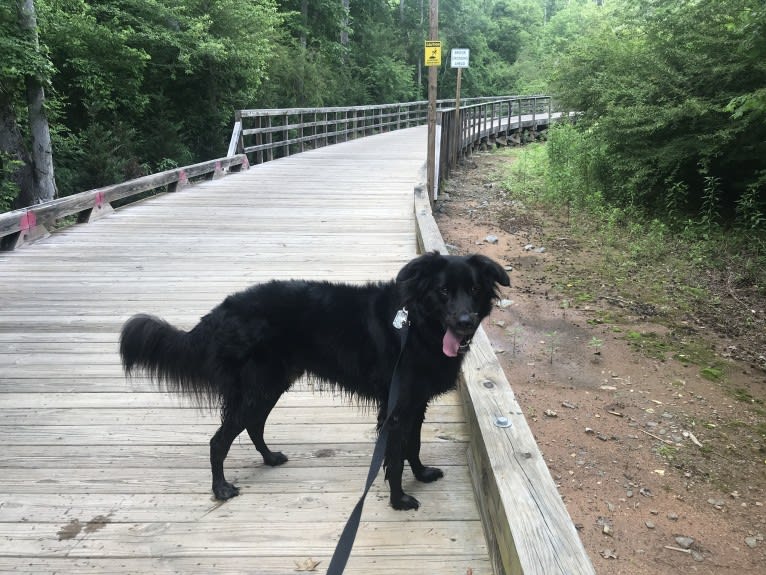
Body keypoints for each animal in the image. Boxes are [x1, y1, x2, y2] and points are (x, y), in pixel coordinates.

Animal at [120, 251, 510, 508]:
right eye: (443, 292)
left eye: (475, 290)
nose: (464, 322)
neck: (415, 325)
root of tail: (219, 311)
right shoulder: (397, 409)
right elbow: (395, 456)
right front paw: (399, 499)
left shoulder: (416, 403)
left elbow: (412, 446)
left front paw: (423, 474)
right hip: (258, 388)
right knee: (219, 441)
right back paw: (221, 489)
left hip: (270, 385)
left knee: (253, 425)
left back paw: (269, 458)